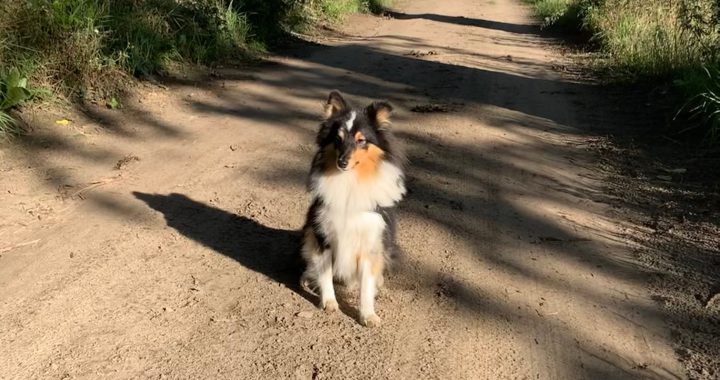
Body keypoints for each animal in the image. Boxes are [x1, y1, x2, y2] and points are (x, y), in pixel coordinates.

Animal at [298, 90, 404, 326]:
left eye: (361, 140)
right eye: (337, 138)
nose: (342, 162)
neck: (350, 180)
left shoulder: (370, 242)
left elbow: (366, 284)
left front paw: (368, 315)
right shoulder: (323, 235)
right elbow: (325, 273)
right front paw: (329, 303)